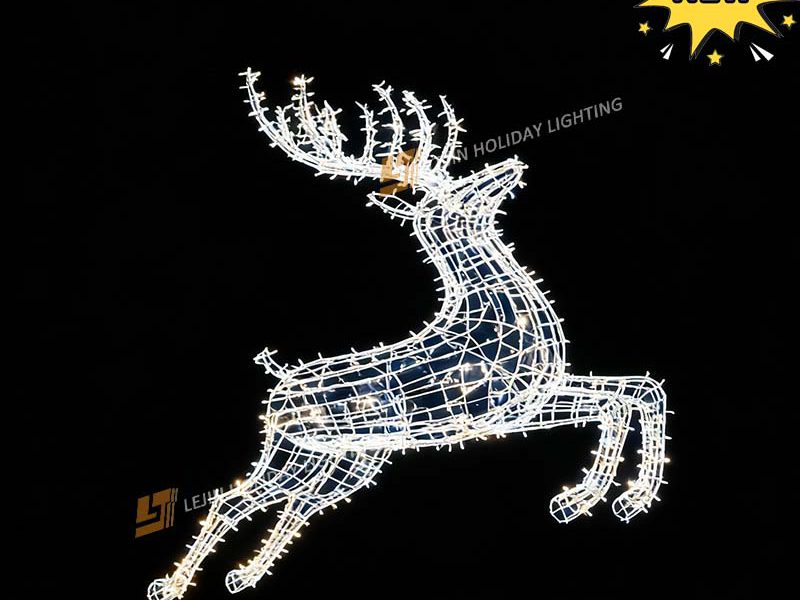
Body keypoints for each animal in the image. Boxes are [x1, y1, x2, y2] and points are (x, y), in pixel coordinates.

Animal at [147, 69, 669, 600]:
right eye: (457, 193)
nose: (510, 165)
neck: (491, 311)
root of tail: (277, 388)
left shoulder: (534, 400)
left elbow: (636, 392)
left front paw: (618, 500)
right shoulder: (505, 407)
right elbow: (618, 403)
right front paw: (585, 498)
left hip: (348, 458)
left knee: (301, 502)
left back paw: (243, 576)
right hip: (292, 450)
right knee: (235, 501)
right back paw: (172, 585)